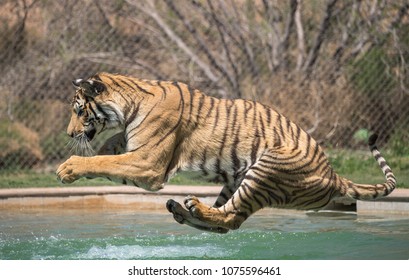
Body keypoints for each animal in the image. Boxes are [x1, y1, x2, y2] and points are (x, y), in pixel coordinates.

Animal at [55, 72, 394, 234]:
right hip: (236, 179)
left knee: (230, 218)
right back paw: (183, 209)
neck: (129, 106)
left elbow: (104, 161)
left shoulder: (148, 164)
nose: (69, 134)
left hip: (268, 168)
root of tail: (335, 176)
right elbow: (108, 158)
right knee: (225, 222)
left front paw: (66, 168)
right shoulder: (136, 155)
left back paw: (191, 207)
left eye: (79, 110)